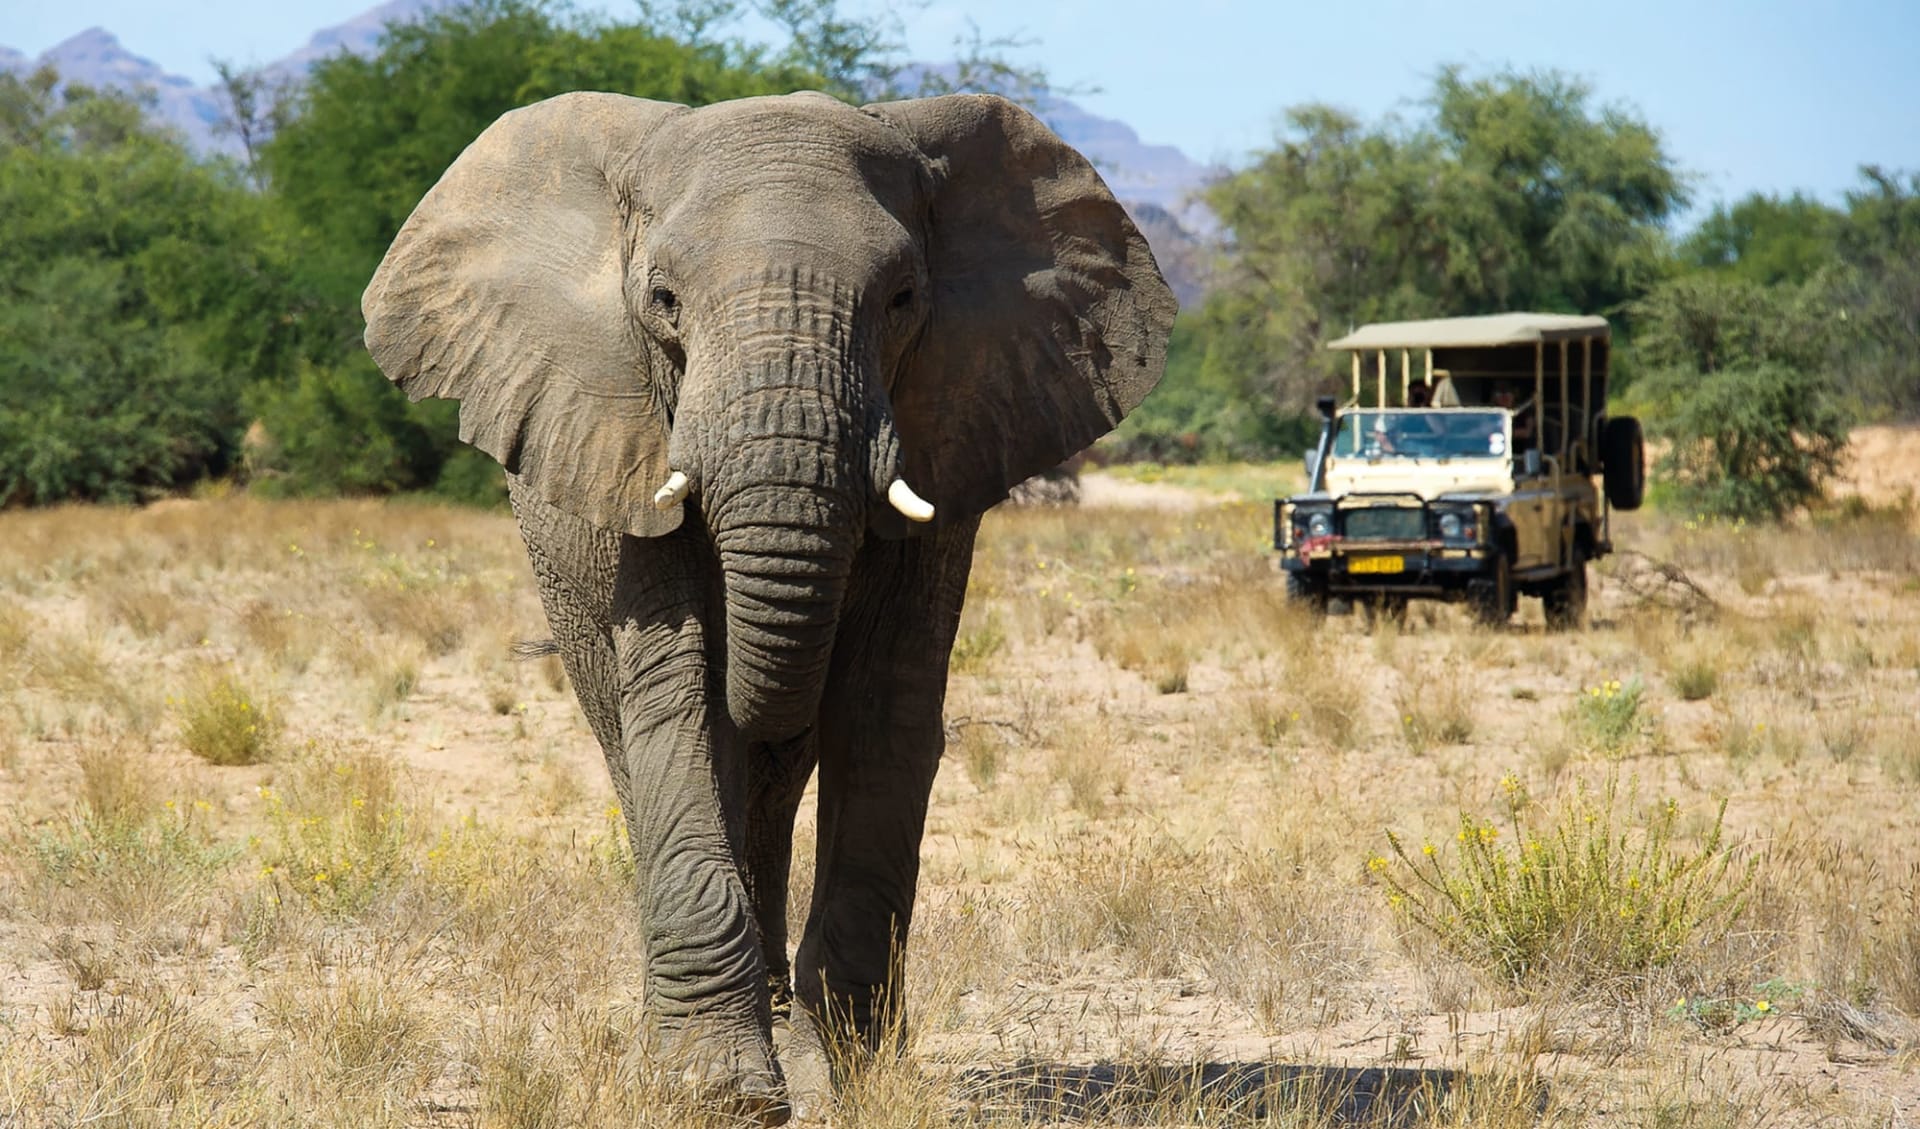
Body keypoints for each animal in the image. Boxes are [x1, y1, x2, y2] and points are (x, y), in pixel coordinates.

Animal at [357, 90, 1167, 1121]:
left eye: (903, 299)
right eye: (663, 302)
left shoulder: (953, 422)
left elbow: (884, 706)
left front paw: (848, 1075)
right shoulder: (627, 446)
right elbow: (681, 701)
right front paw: (721, 1092)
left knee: (780, 772)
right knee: (642, 744)